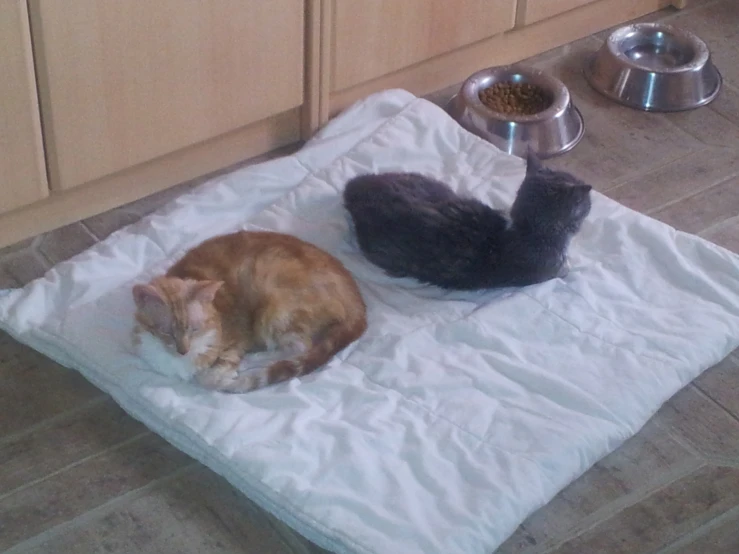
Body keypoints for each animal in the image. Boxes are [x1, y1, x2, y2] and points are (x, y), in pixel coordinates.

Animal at [132, 229, 368, 392]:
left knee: (299, 347)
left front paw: (225, 377)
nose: (183, 350)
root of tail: (357, 297)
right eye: (166, 332)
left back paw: (254, 361)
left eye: (194, 329)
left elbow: (210, 378)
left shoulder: (237, 337)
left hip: (275, 309)